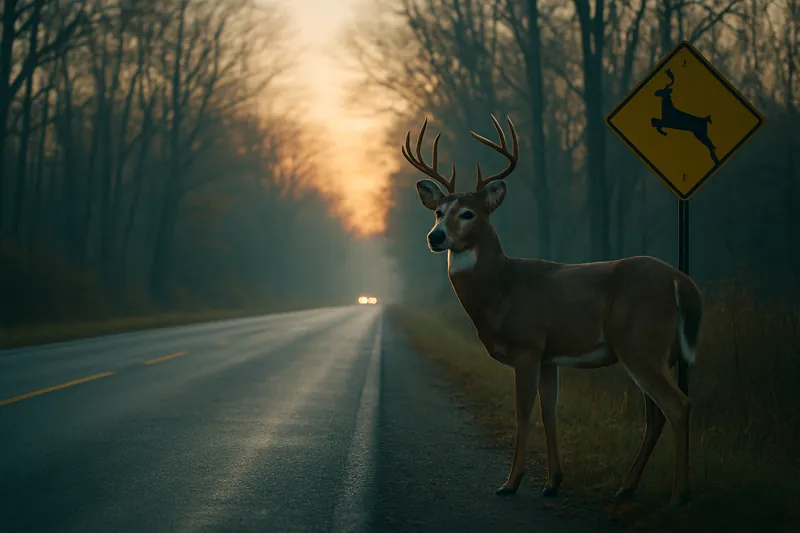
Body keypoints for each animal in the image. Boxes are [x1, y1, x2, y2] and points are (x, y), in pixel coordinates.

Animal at [401, 115, 703, 507]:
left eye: (468, 213)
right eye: (438, 212)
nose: (435, 237)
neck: (501, 290)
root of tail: (681, 281)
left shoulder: (528, 347)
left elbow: (523, 414)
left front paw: (510, 483)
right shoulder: (549, 356)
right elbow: (550, 413)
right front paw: (553, 482)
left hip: (641, 343)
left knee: (678, 405)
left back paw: (679, 495)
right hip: (653, 352)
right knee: (656, 415)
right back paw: (627, 487)